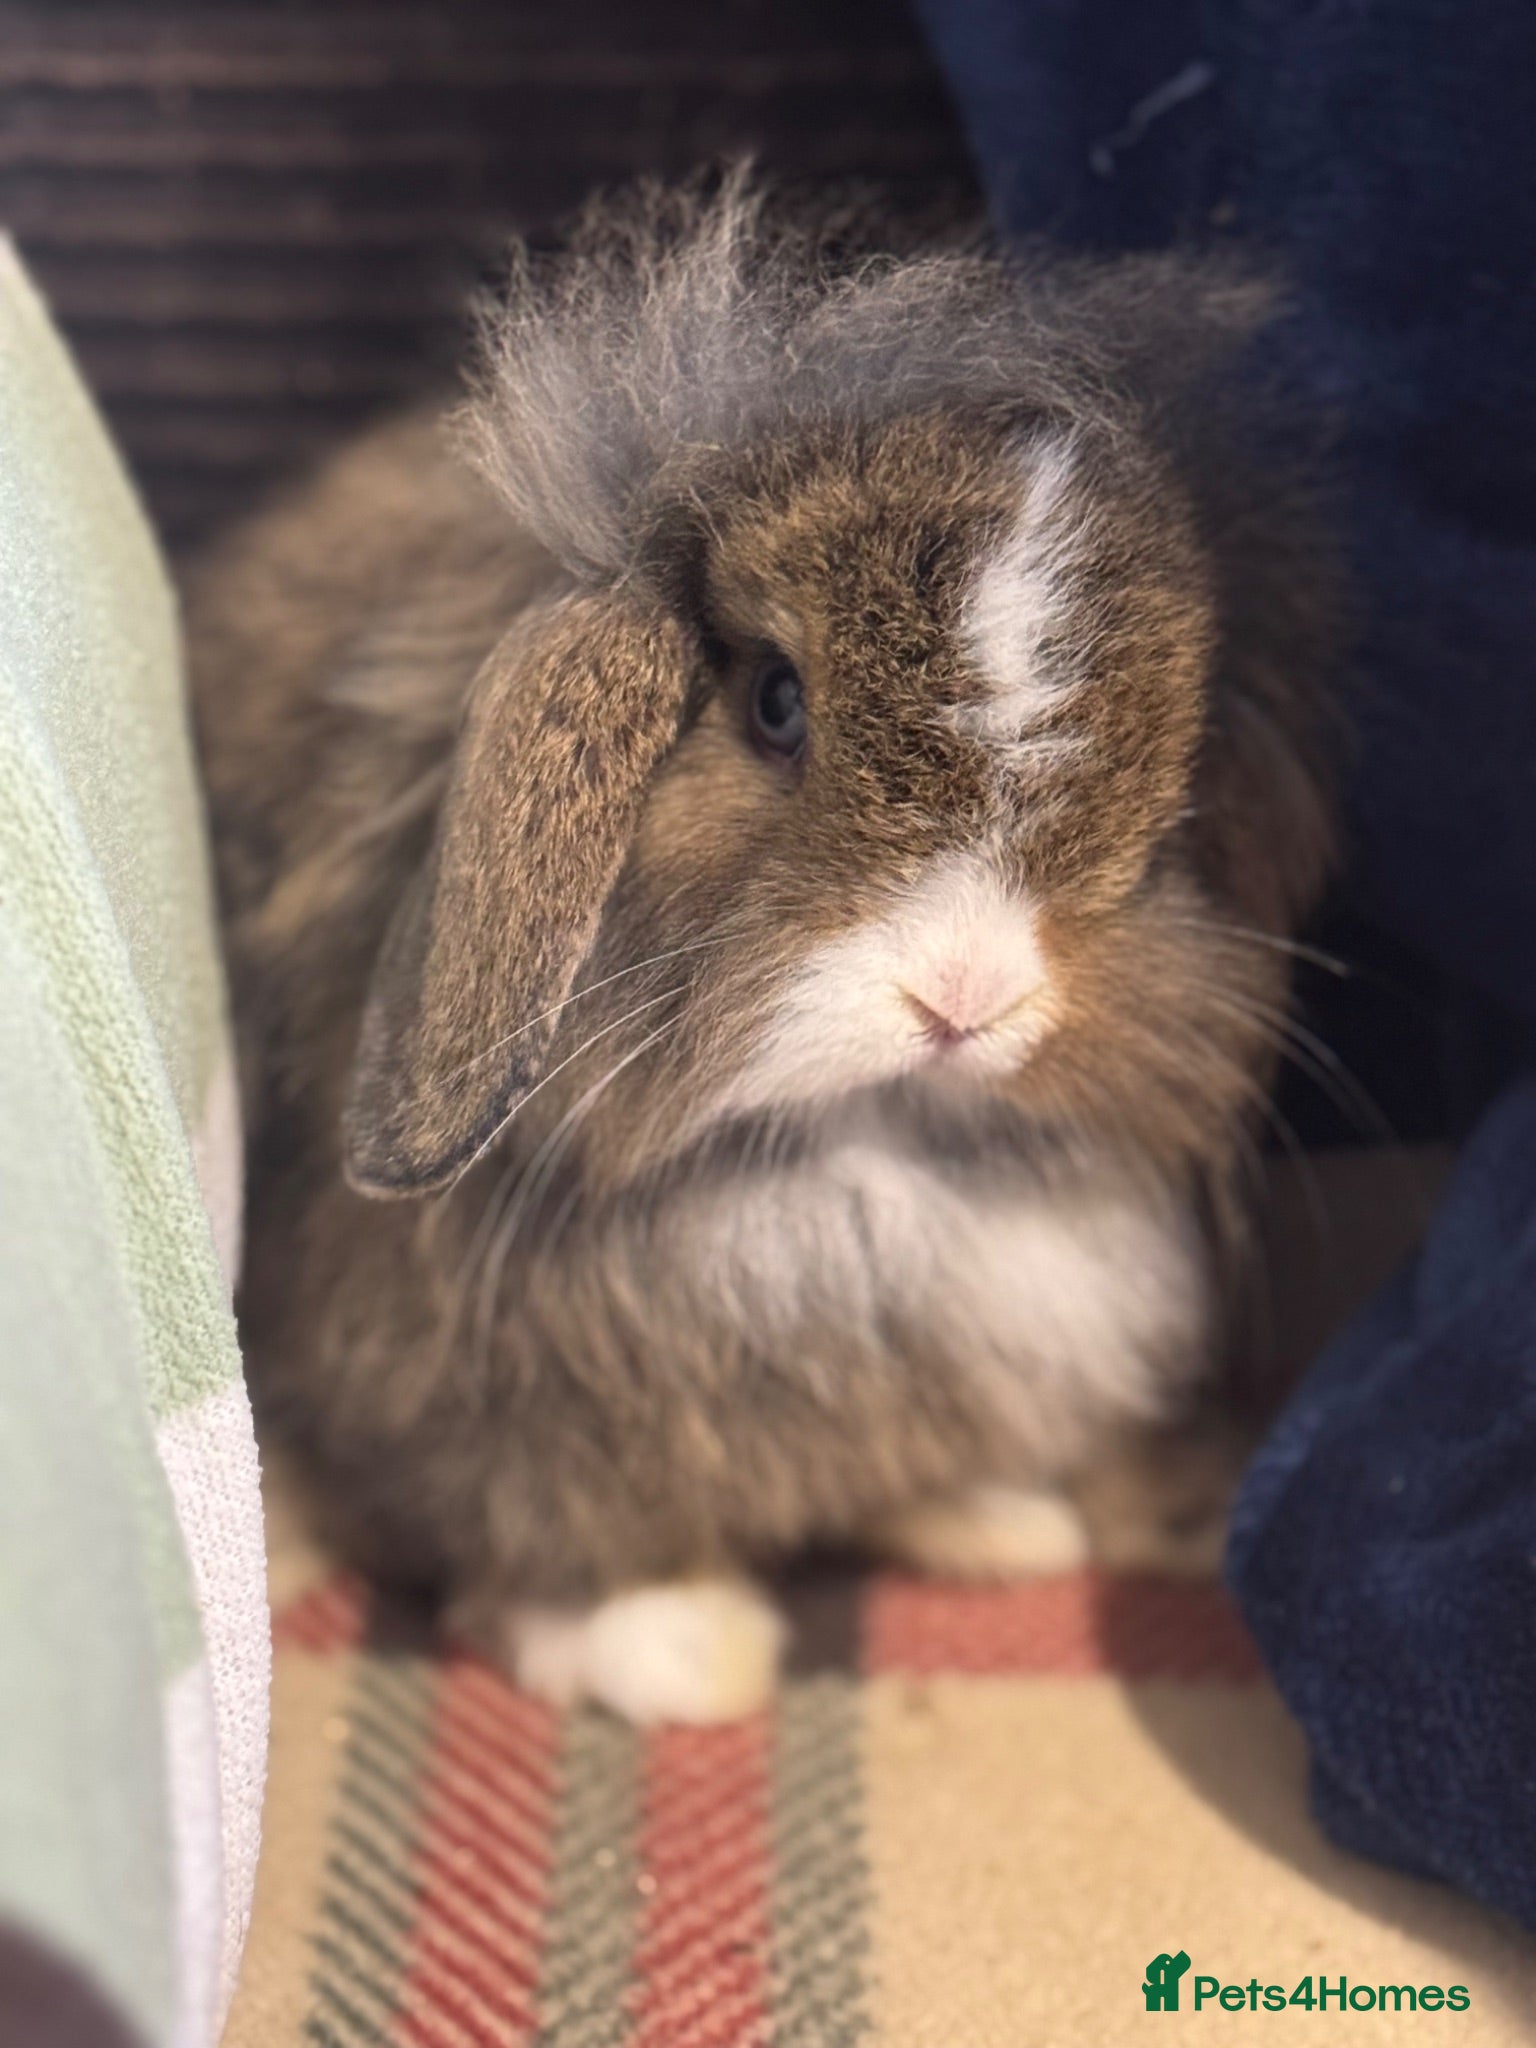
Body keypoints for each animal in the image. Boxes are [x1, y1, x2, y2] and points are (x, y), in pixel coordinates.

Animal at [189, 170, 1338, 1724]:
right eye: (775, 702)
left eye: (1176, 760)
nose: (968, 993)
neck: (856, 1156)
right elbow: (555, 1537)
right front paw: (686, 1658)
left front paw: (1000, 1523)